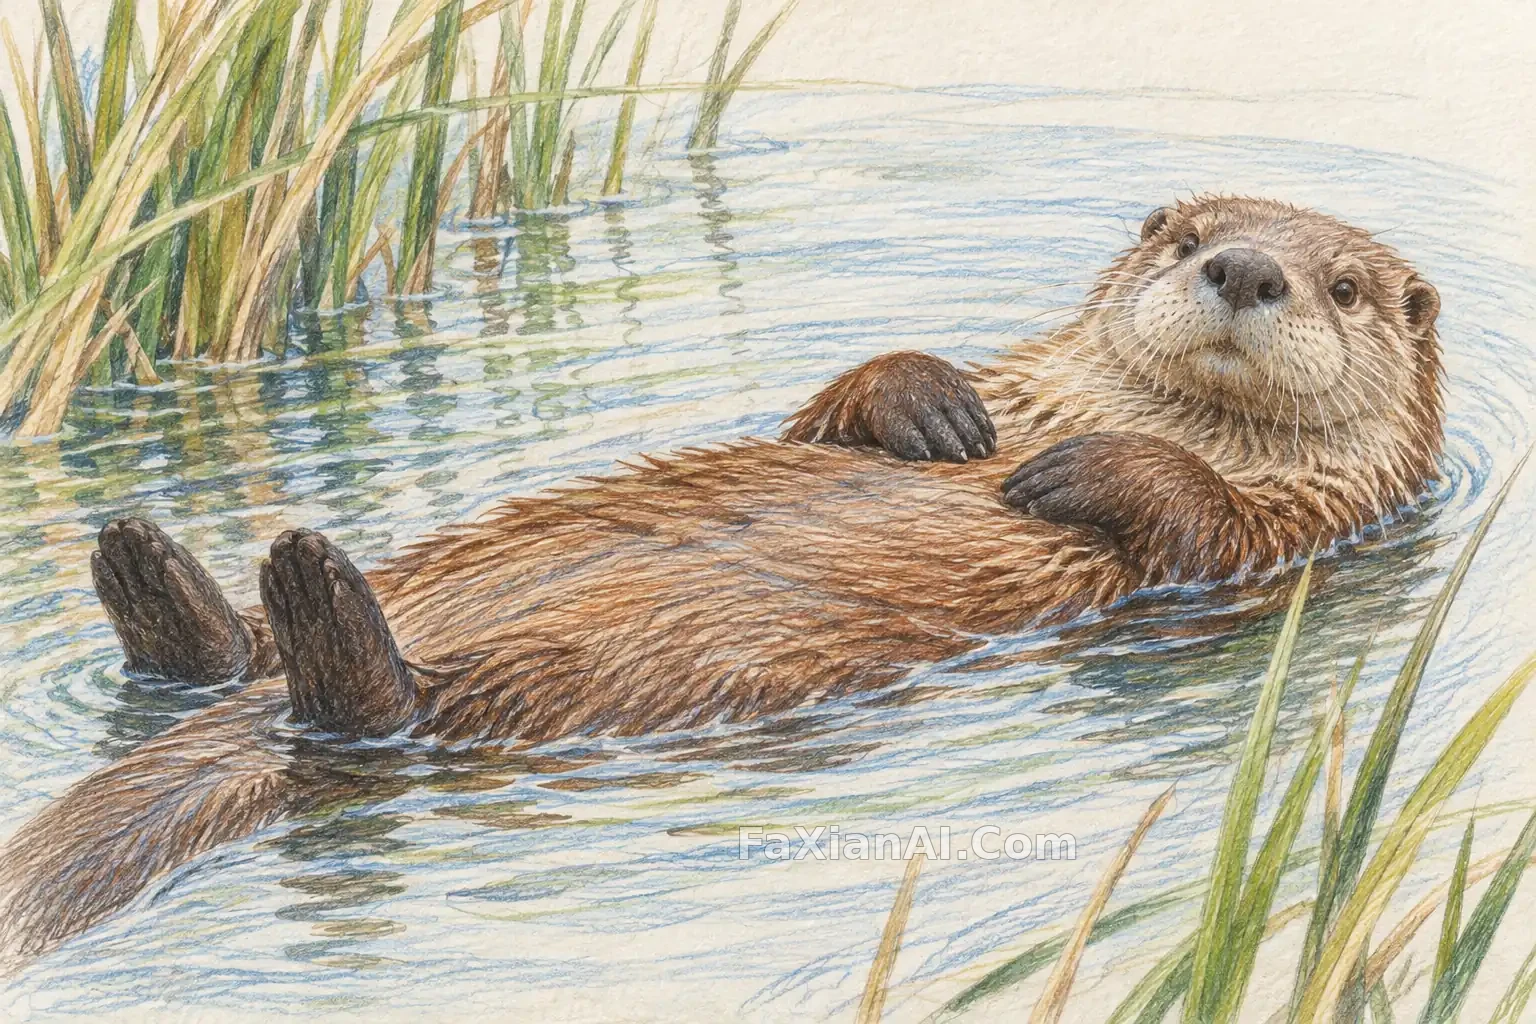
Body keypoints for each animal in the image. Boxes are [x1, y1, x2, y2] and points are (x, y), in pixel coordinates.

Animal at [0, 196, 1443, 961]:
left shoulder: (1309, 526)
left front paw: (1078, 470)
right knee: (244, 664)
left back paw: (304, 591)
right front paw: (936, 411)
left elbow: (1204, 523)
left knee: (384, 716)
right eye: (1185, 234)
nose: (1244, 268)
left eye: (1346, 286)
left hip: (562, 681)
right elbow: (829, 415)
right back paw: (159, 566)